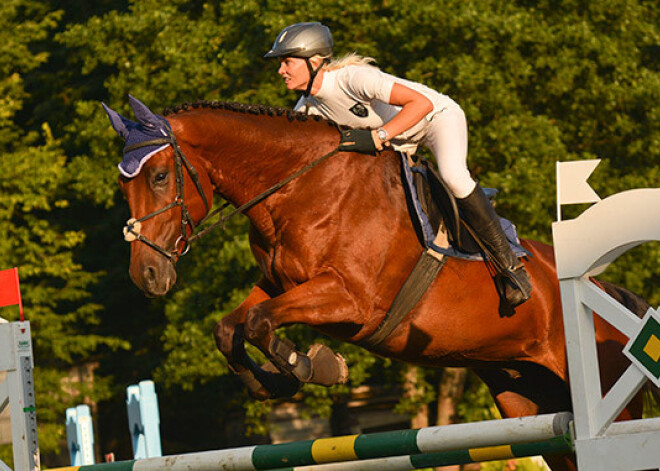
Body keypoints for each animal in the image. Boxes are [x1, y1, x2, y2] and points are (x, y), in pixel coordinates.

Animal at [105, 96, 652, 471]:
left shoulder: (350, 301)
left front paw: (317, 366)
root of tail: (607, 292)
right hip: (528, 397)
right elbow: (230, 328)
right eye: (122, 186)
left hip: (611, 400)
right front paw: (276, 382)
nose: (146, 275)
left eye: (158, 177)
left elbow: (259, 324)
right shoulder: (280, 285)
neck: (300, 186)